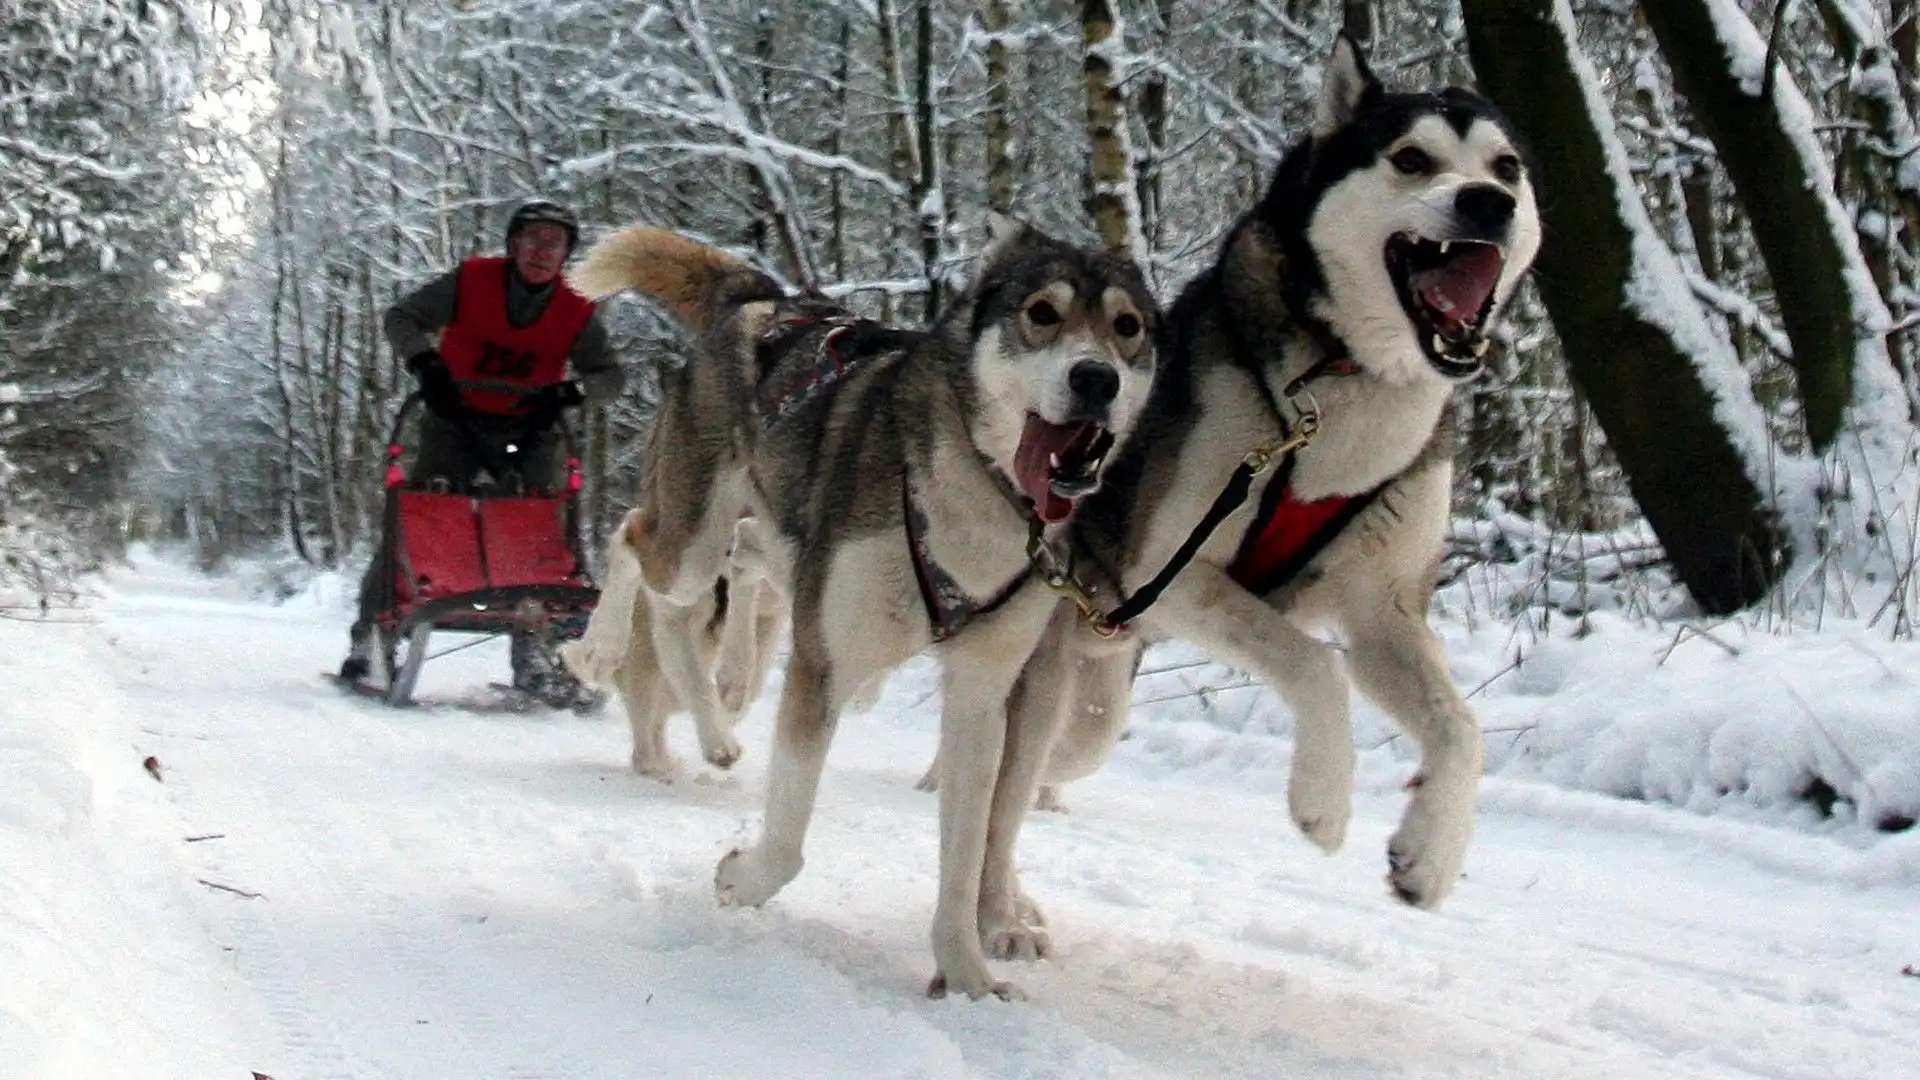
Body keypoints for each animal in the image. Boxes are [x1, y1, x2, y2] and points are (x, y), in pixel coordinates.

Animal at [560, 214, 1152, 999]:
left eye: (1128, 326)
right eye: (1042, 313)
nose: (1096, 379)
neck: (973, 490)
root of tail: (763, 301)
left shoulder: (981, 694)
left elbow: (965, 857)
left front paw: (967, 977)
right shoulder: (822, 667)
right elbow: (786, 844)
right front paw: (740, 879)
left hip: (766, 541)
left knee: (716, 586)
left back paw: (722, 711)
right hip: (689, 542)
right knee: (634, 543)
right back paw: (606, 653)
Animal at [1021, 33, 1543, 903]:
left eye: (1506, 167)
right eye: (1411, 158)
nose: (1486, 203)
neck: (1347, 375)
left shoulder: (1383, 611)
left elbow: (1460, 727)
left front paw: (1431, 852)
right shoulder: (1173, 570)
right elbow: (1315, 663)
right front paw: (1323, 800)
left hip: (1098, 681)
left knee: (1067, 750)